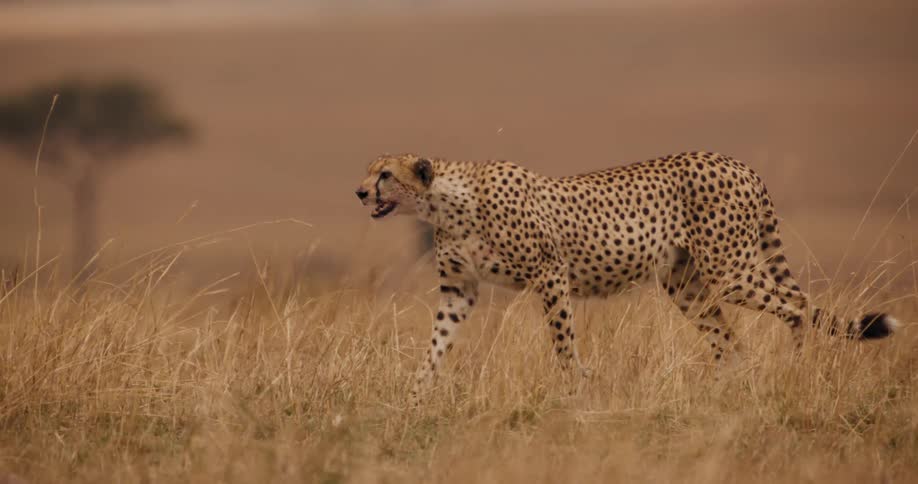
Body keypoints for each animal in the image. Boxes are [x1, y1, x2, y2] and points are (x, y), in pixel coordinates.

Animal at [354, 151, 899, 403]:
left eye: (385, 174)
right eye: (369, 171)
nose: (359, 193)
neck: (444, 202)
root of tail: (738, 163)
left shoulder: (550, 274)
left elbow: (562, 341)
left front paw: (576, 390)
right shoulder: (458, 290)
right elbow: (435, 345)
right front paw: (415, 397)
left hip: (731, 269)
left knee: (797, 303)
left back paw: (799, 370)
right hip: (686, 285)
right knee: (731, 340)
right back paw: (720, 394)